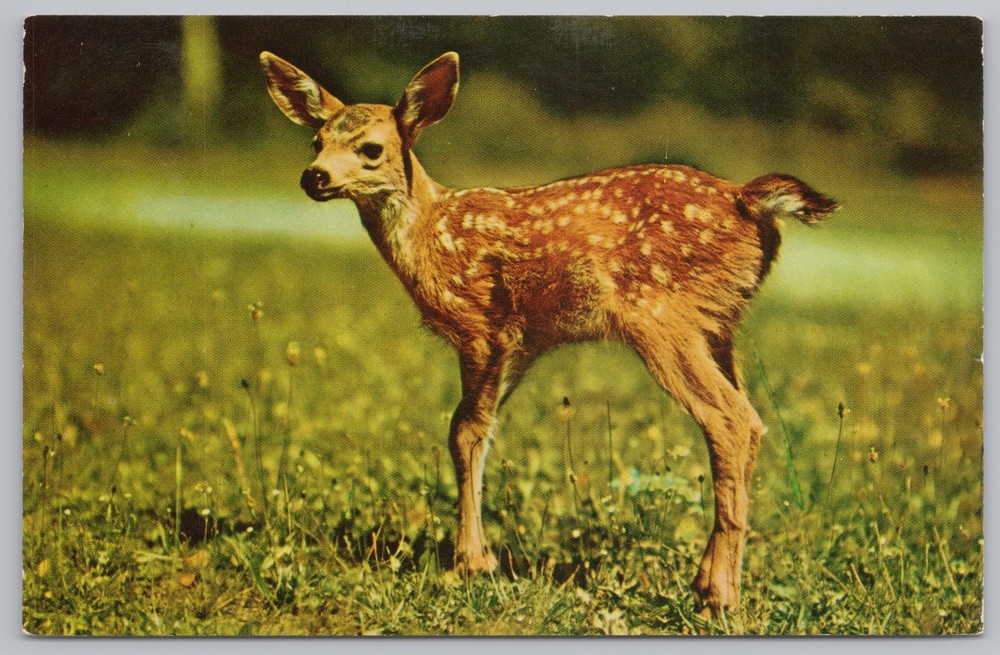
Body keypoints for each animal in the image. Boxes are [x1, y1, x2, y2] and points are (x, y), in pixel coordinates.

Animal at [260, 50, 837, 615]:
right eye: (316, 141)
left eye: (372, 148)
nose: (314, 176)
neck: (430, 236)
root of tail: (748, 197)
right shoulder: (522, 344)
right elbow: (479, 430)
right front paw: (477, 556)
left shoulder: (481, 328)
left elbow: (464, 433)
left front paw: (473, 562)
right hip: (718, 324)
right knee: (750, 422)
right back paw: (706, 582)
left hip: (660, 315)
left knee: (731, 421)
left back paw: (719, 596)